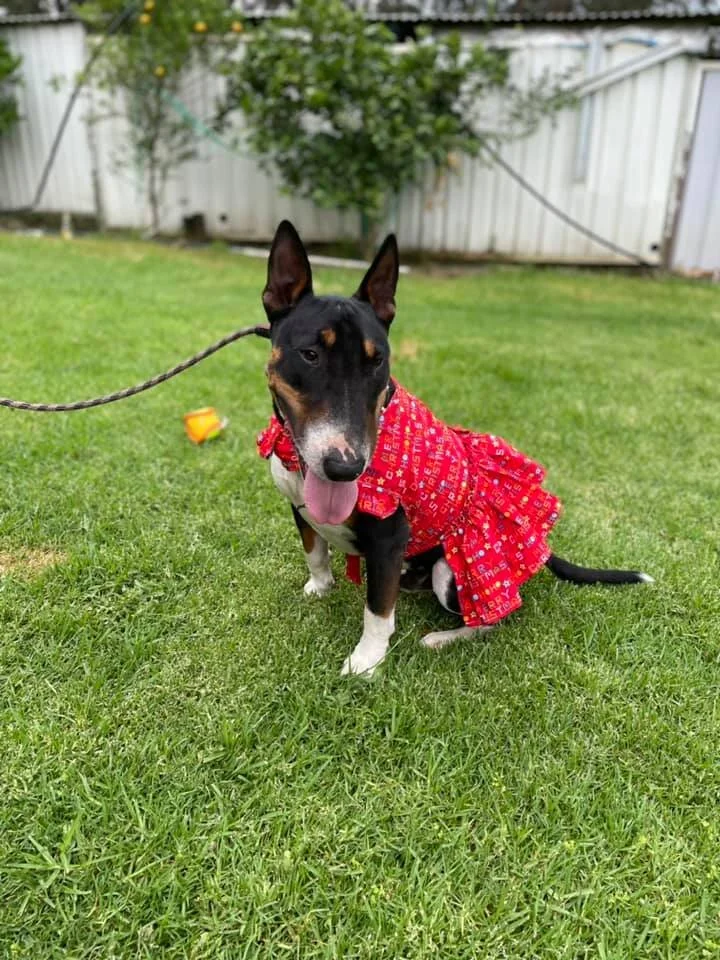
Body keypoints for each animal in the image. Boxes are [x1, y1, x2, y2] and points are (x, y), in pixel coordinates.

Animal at [257, 221, 652, 675]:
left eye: (377, 362)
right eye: (310, 354)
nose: (347, 467)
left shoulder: (389, 536)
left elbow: (377, 610)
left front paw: (366, 663)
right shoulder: (299, 507)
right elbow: (315, 551)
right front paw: (319, 588)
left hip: (452, 571)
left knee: (493, 617)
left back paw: (441, 638)